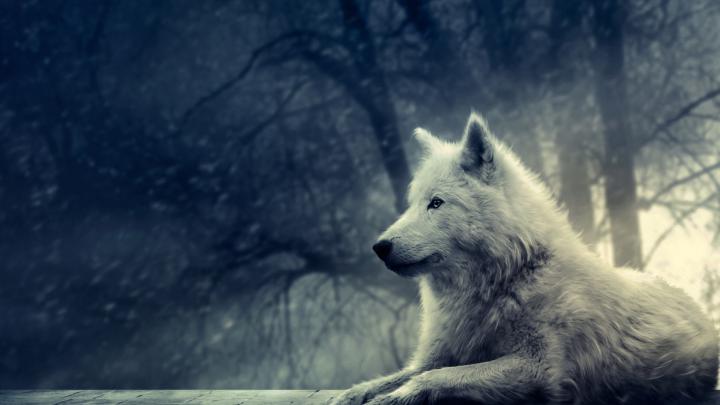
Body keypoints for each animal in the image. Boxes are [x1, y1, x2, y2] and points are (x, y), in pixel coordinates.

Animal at [330, 114, 718, 405]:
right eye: (412, 204)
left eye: (436, 203)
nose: (379, 246)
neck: (509, 276)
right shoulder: (436, 354)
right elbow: (391, 378)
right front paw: (350, 394)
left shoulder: (538, 368)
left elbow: (434, 378)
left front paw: (394, 397)